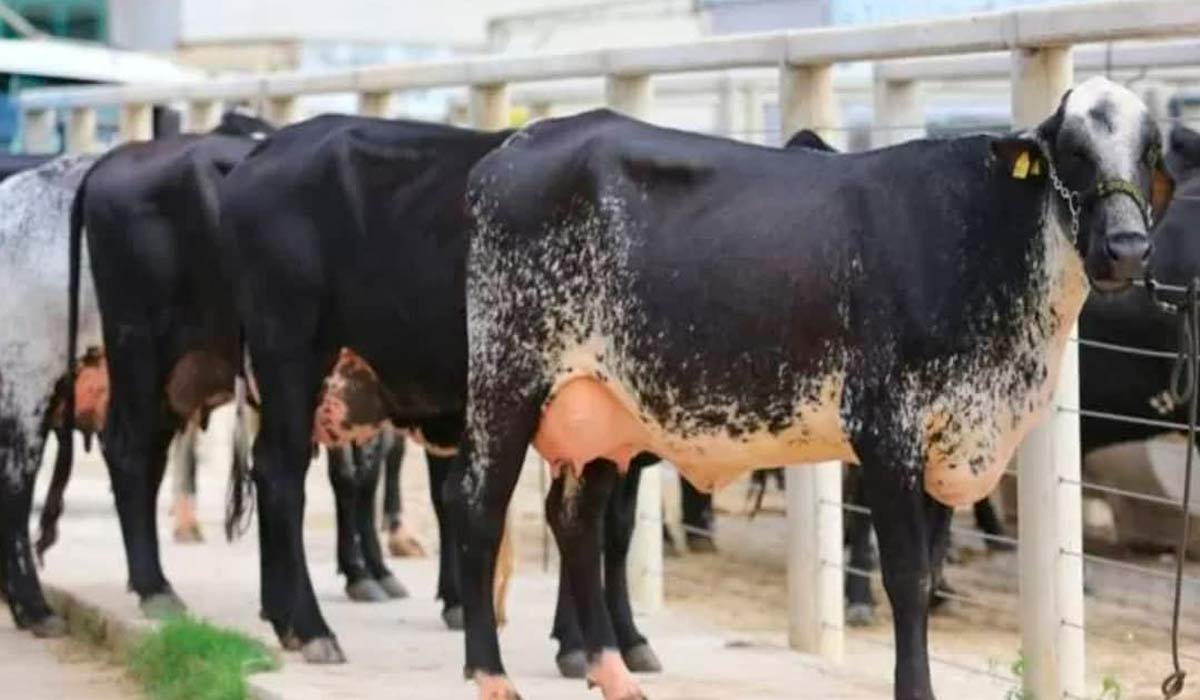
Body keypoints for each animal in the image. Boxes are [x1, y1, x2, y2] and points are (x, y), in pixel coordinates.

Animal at [218, 116, 667, 677]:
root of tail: (271, 146)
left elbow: (614, 529)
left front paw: (626, 638)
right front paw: (580, 644)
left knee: (270, 470)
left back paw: (285, 619)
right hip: (291, 357)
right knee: (283, 477)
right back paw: (313, 628)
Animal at [458, 73, 1171, 696]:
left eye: (1150, 151)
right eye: (1073, 150)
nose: (1128, 248)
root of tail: (514, 149)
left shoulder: (947, 432)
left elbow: (932, 566)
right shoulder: (887, 429)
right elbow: (905, 574)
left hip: (601, 410)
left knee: (575, 521)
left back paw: (612, 673)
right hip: (505, 384)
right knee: (481, 512)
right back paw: (492, 676)